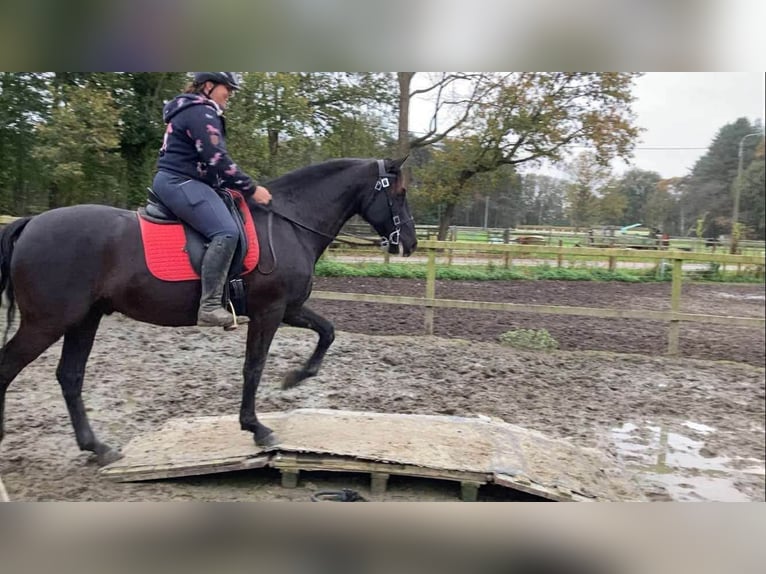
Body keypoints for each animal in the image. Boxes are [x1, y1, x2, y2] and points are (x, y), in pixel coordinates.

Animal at [0, 157, 417, 466]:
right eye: (400, 193)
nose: (410, 243)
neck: (289, 223)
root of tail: (32, 223)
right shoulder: (269, 311)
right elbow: (253, 367)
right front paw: (257, 428)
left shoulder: (289, 308)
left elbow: (327, 332)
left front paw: (295, 378)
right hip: (47, 322)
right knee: (10, 367)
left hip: (84, 319)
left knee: (70, 377)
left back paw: (97, 448)